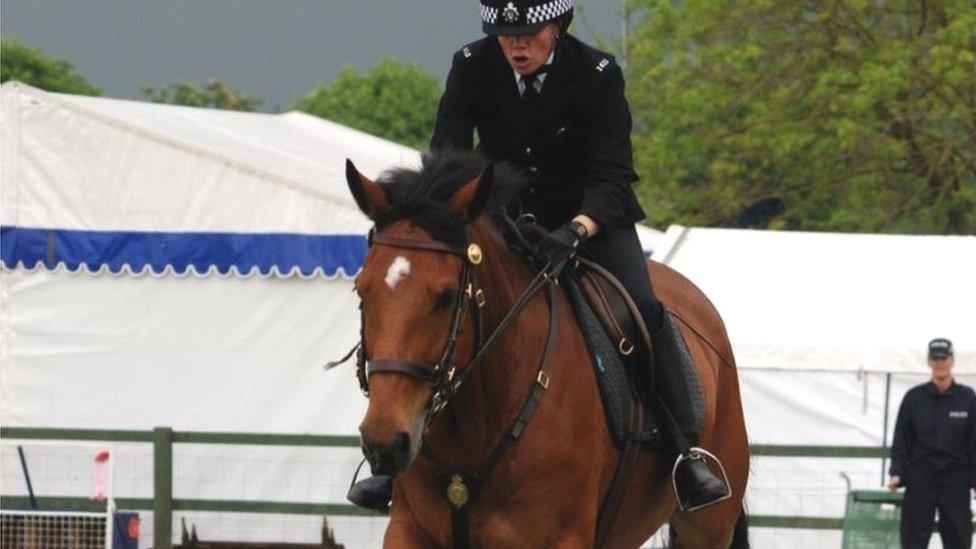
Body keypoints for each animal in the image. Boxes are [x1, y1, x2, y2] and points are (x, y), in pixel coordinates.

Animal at [344, 148, 748, 544]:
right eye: (360, 291)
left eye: (445, 297)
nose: (384, 441)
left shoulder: (561, 537)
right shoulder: (408, 528)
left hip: (708, 526)